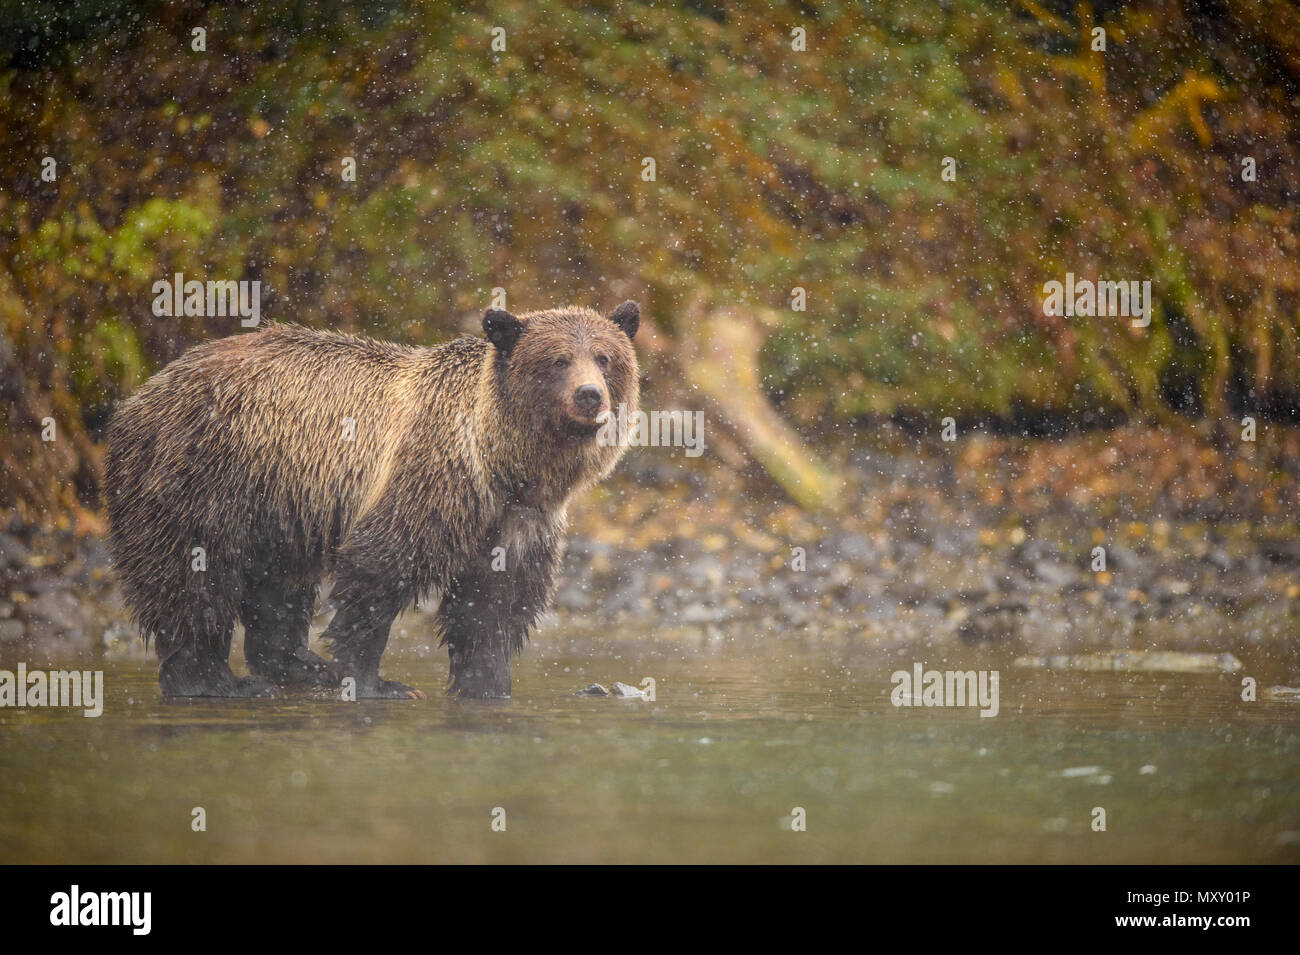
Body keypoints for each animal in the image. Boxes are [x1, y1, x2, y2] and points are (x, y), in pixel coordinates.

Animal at [104, 306, 642, 701]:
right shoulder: (432, 480)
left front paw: (487, 686)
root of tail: (137, 399)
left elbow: (494, 604)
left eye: (604, 357)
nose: (590, 395)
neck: (505, 466)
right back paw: (218, 682)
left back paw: (301, 668)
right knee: (193, 576)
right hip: (203, 477)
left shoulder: (519, 520)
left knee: (278, 586)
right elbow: (380, 571)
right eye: (558, 360)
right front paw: (375, 683)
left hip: (281, 503)